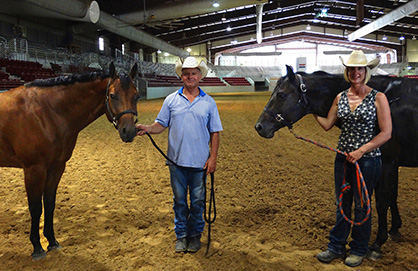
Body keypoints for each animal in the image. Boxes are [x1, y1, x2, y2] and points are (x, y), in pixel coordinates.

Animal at [0, 62, 140, 260]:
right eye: (112, 95)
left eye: (137, 96)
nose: (129, 132)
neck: (47, 112)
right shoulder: (34, 169)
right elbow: (35, 208)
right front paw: (37, 248)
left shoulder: (56, 167)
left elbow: (49, 203)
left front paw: (52, 241)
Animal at [255, 66, 418, 260]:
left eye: (281, 95)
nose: (259, 126)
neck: (389, 98)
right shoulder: (393, 165)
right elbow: (393, 195)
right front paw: (395, 230)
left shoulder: (387, 163)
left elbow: (382, 201)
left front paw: (378, 244)